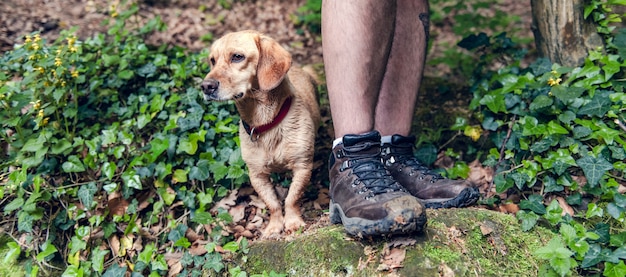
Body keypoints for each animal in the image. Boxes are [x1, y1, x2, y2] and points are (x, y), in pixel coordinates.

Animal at [200, 30, 320, 237]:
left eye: (237, 57)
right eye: (213, 60)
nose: (205, 86)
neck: (265, 122)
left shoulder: (302, 167)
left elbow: (292, 198)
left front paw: (293, 222)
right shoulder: (257, 176)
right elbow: (272, 203)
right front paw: (274, 226)